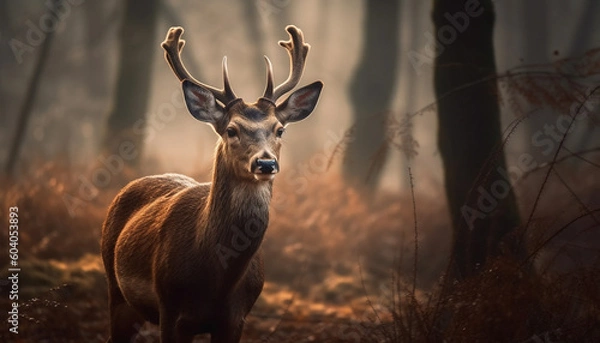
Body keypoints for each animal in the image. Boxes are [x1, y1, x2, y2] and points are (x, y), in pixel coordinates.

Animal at [101, 24, 322, 343]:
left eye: (280, 129)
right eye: (231, 129)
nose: (266, 163)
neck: (217, 279)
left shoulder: (236, 318)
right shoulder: (169, 308)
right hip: (114, 287)